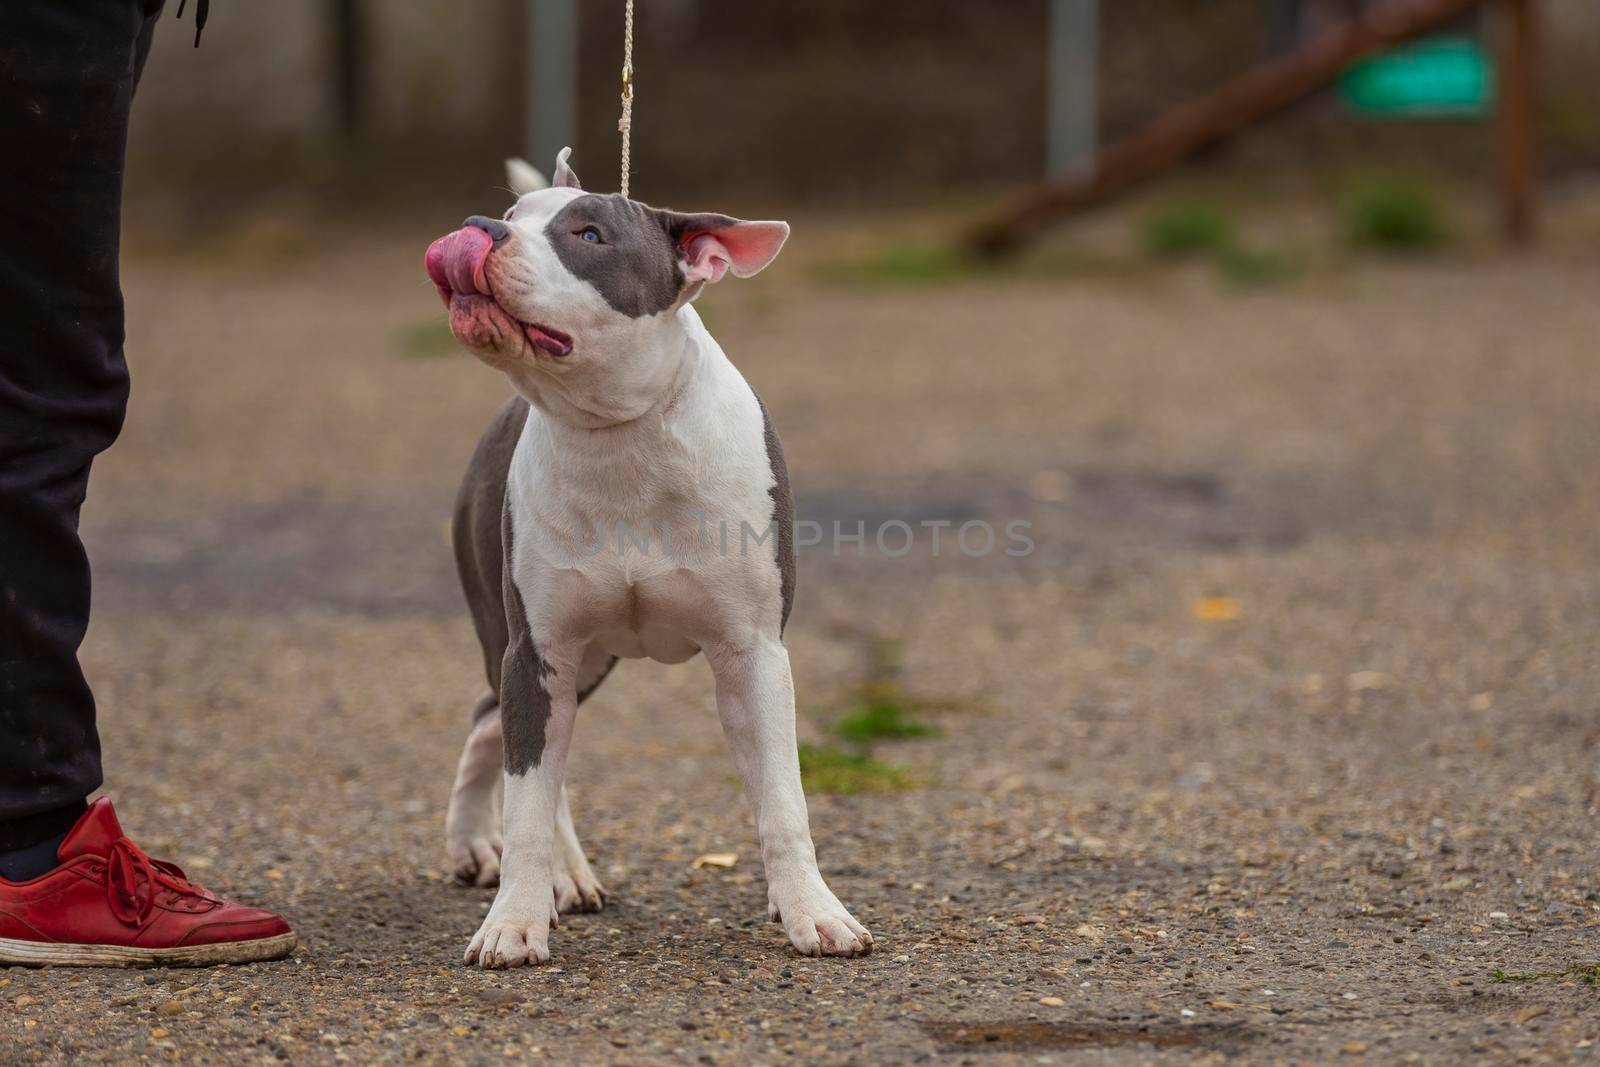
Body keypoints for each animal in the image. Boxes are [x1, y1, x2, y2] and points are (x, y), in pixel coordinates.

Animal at [425, 147, 876, 966]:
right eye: (510, 217)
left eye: (589, 235)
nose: (478, 228)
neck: (619, 433)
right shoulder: (537, 652)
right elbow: (530, 797)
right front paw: (513, 923)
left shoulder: (753, 653)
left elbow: (783, 800)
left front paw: (811, 910)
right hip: (534, 649)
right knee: (506, 736)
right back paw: (539, 867)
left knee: (486, 718)